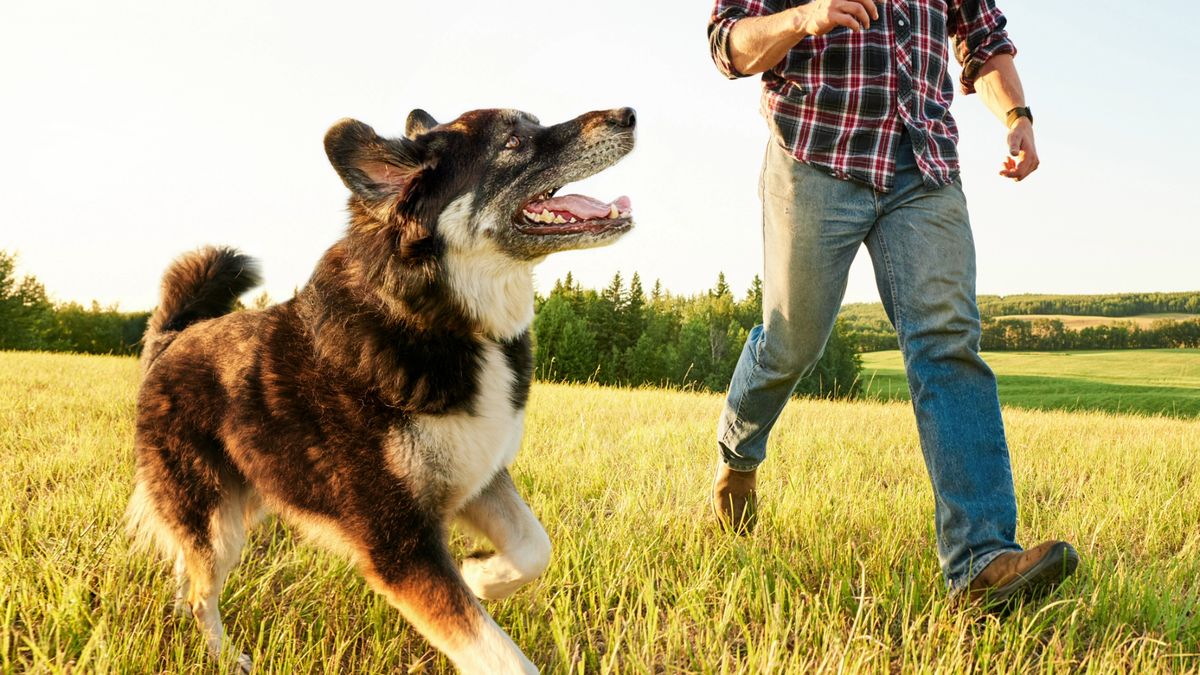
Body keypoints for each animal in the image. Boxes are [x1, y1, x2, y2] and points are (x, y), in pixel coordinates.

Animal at [125, 105, 638, 667]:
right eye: (512, 141)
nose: (629, 114)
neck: (436, 318)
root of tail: (171, 339)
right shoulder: (398, 543)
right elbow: (497, 654)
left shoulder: (477, 477)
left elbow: (534, 546)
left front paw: (481, 575)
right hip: (215, 520)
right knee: (201, 594)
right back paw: (225, 658)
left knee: (185, 582)